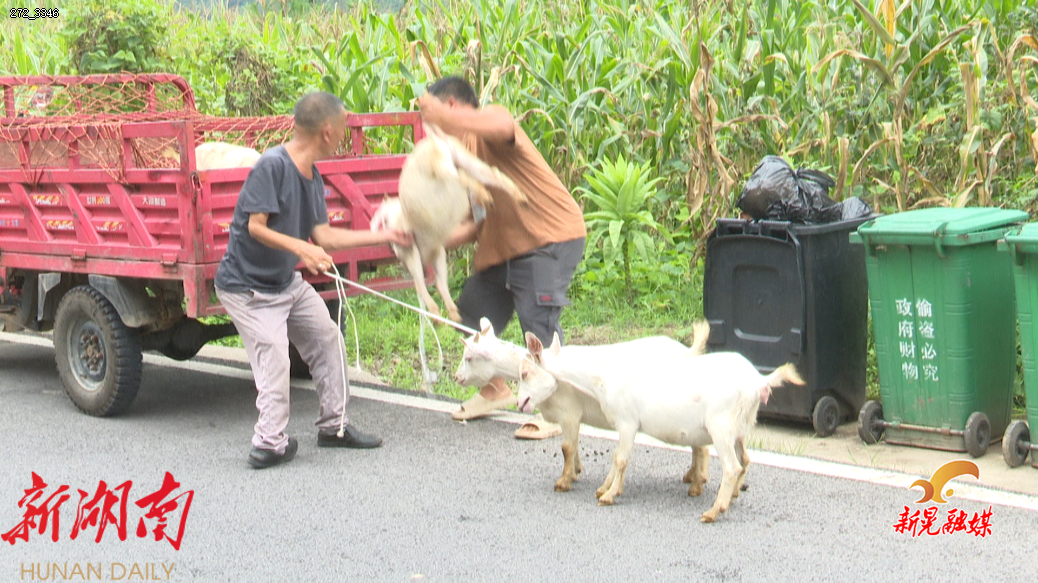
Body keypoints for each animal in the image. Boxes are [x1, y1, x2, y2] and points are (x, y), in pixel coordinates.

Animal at [372, 123, 526, 322]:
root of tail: (435, 139)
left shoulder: (410, 251)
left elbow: (420, 285)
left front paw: (436, 314)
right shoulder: (436, 251)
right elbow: (438, 283)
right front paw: (450, 313)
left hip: (441, 167)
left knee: (462, 176)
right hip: (464, 159)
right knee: (492, 173)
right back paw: (517, 197)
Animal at [455, 318, 710, 492]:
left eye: (469, 358)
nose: (457, 378)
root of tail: (690, 352)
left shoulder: (569, 412)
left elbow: (567, 447)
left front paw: (564, 481)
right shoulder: (572, 418)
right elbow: (574, 445)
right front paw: (576, 471)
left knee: (699, 445)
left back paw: (697, 480)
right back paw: (692, 476)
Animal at [517, 329, 804, 522]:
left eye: (524, 373)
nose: (519, 403)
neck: (604, 375)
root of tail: (758, 381)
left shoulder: (627, 421)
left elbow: (619, 458)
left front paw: (608, 495)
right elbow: (615, 457)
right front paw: (603, 489)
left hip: (720, 425)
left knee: (731, 466)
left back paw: (713, 510)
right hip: (740, 426)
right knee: (744, 460)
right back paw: (729, 497)